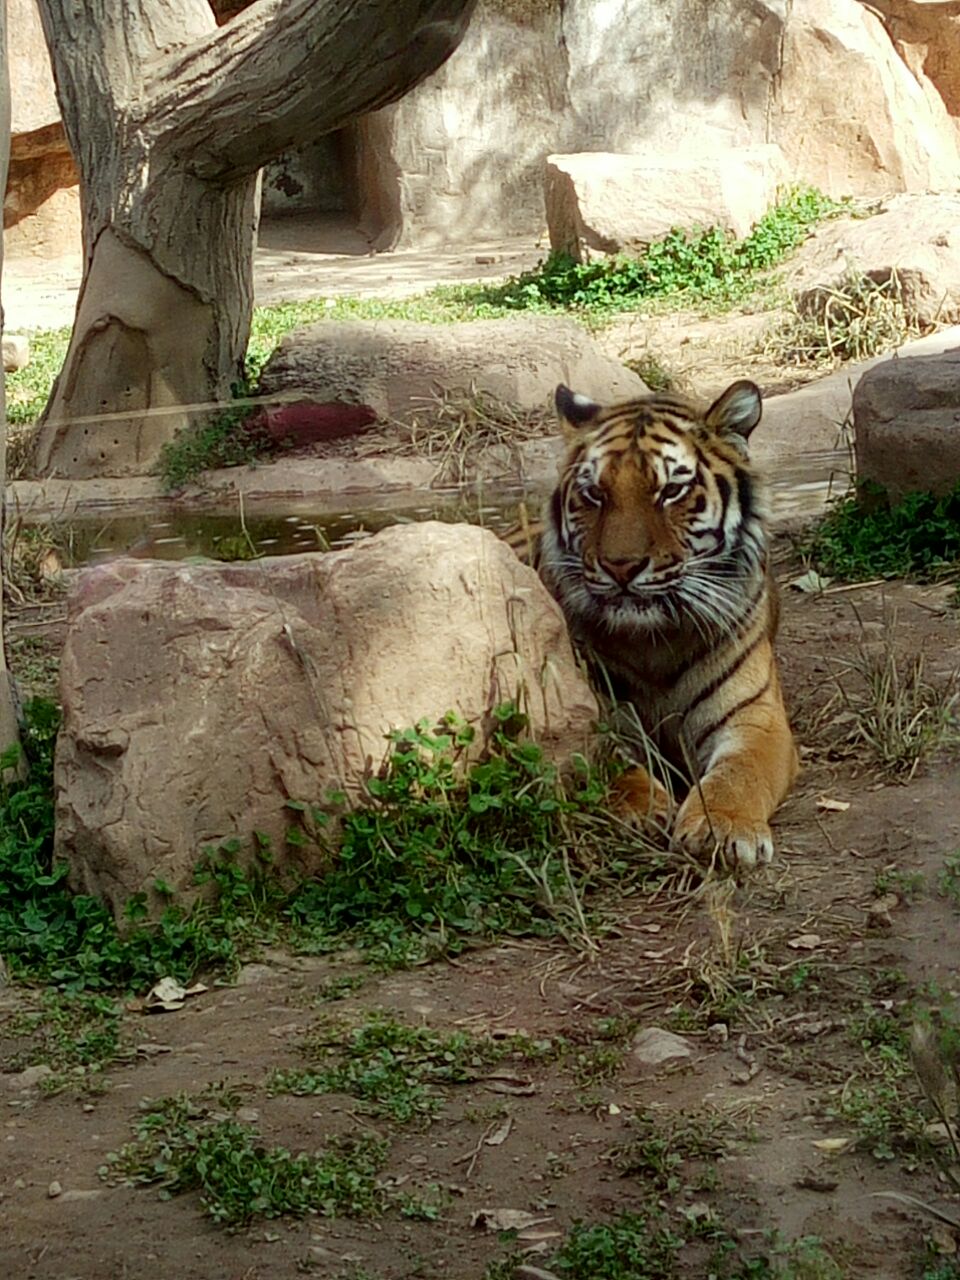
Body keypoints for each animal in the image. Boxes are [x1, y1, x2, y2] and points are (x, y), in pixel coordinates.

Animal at [537, 378, 798, 870]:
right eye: (594, 494)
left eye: (671, 491)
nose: (621, 567)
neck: (653, 640)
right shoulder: (595, 719)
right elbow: (612, 763)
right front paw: (637, 811)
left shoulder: (756, 719)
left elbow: (738, 773)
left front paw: (722, 829)